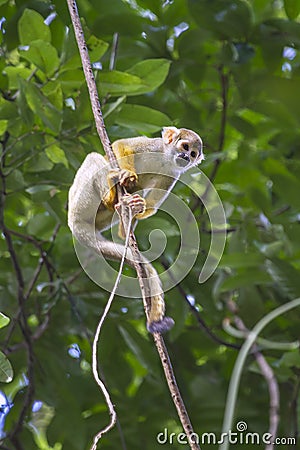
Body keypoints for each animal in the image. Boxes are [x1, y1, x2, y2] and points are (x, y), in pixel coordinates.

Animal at [68, 126, 204, 334]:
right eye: (185, 146)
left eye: (193, 153)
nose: (186, 157)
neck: (165, 158)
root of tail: (75, 224)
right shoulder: (155, 146)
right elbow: (122, 145)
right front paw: (127, 174)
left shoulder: (174, 173)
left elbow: (152, 206)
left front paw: (140, 207)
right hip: (80, 201)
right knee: (94, 159)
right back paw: (111, 193)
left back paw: (123, 218)